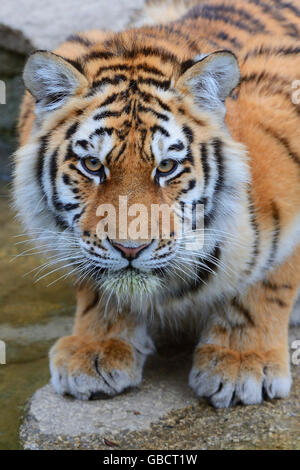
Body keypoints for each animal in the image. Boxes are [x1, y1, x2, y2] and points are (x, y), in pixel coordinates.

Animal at [13, 0, 300, 408]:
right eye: (93, 165)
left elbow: (268, 282)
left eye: (166, 167)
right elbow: (95, 281)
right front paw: (97, 347)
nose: (130, 249)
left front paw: (243, 360)